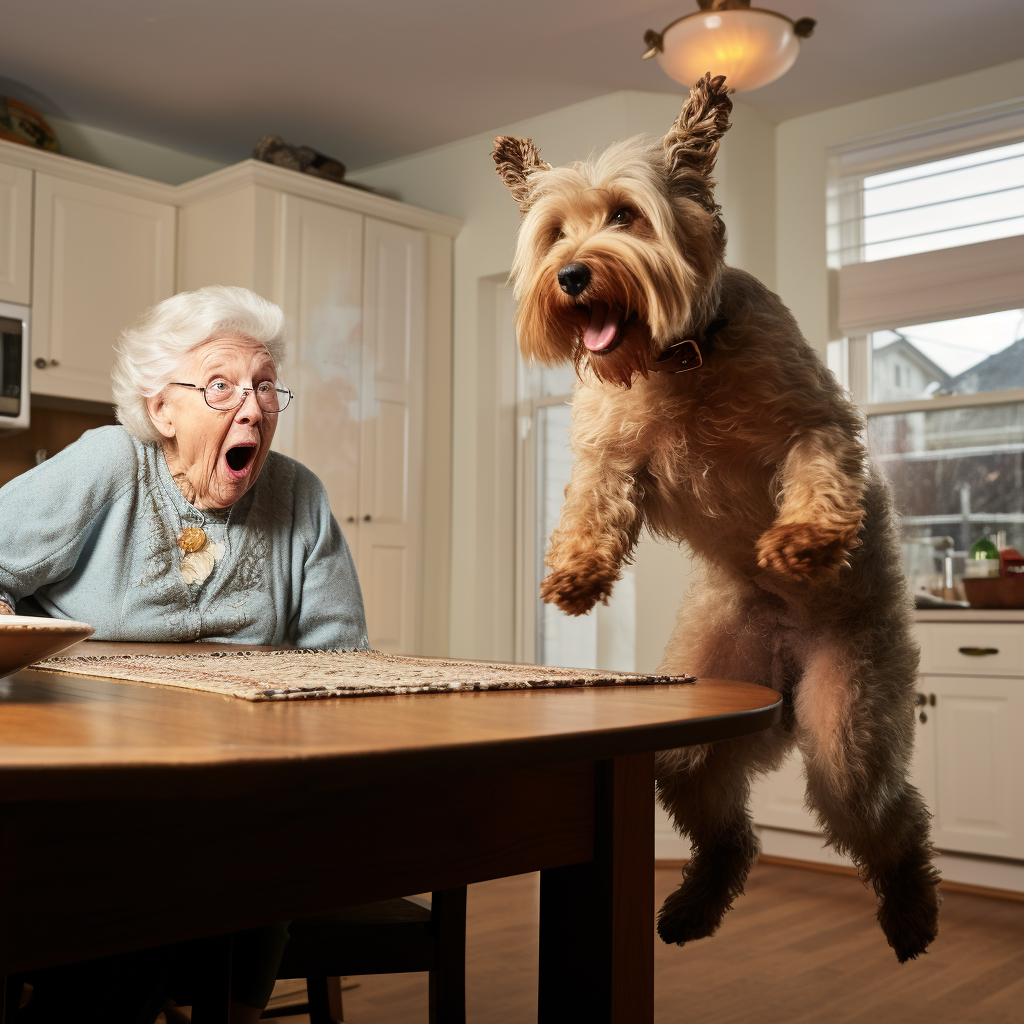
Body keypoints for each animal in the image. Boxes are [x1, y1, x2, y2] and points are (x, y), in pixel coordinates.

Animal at [491, 75, 937, 962]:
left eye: (626, 214)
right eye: (556, 232)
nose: (573, 275)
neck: (677, 358)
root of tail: (786, 676)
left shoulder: (814, 425)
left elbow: (819, 472)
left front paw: (804, 541)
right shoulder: (611, 457)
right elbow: (592, 502)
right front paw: (577, 570)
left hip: (849, 727)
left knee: (895, 822)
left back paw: (912, 914)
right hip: (693, 739)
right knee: (734, 835)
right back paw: (691, 907)